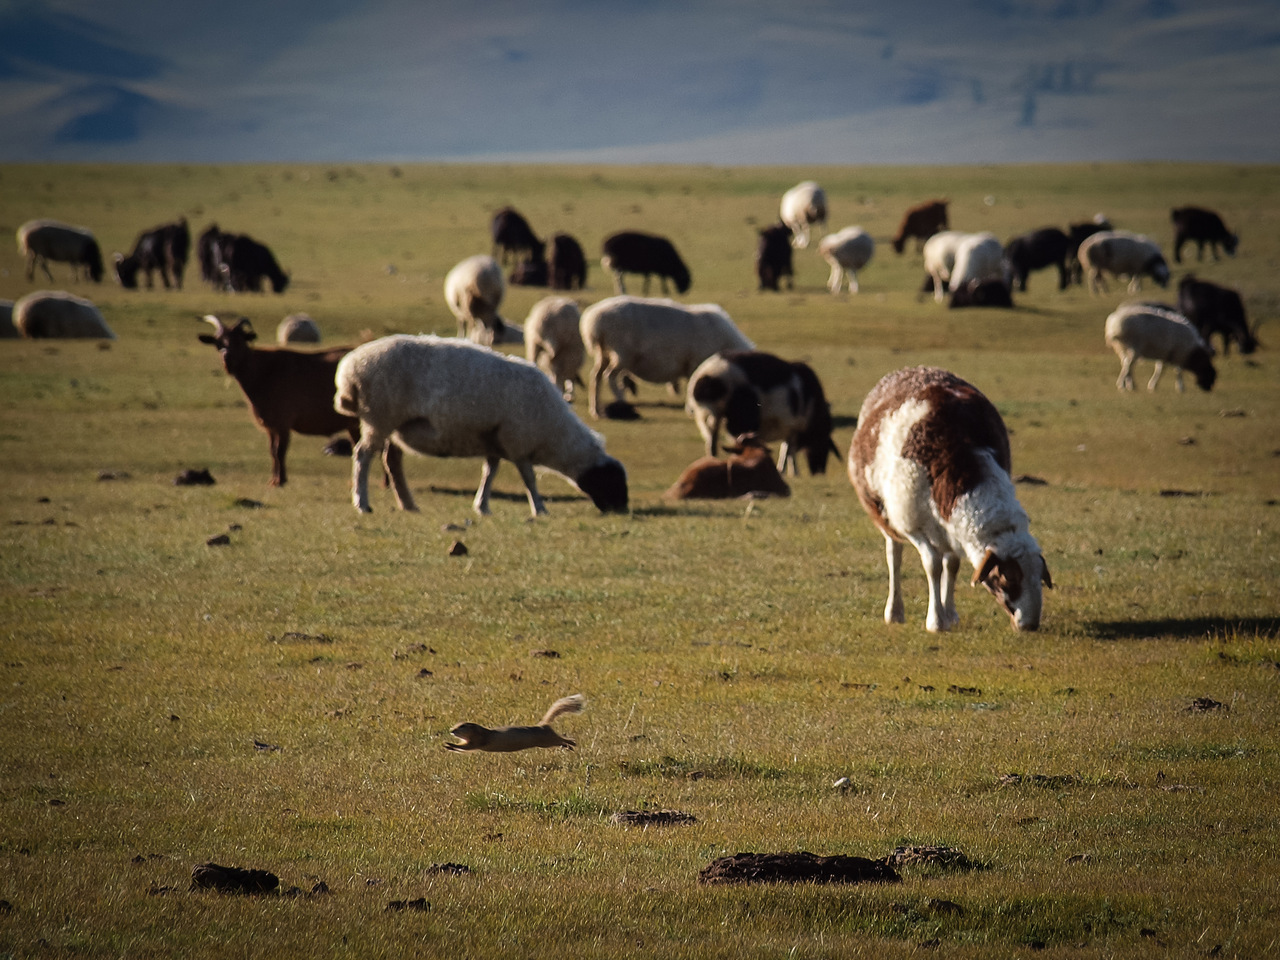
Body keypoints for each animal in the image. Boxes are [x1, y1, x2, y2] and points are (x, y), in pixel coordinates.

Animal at [332, 335, 627, 519]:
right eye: (612, 481)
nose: (623, 510)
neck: (555, 434)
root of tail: (350, 369)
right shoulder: (517, 440)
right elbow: (529, 479)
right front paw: (540, 508)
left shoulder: (495, 441)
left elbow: (490, 473)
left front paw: (482, 506)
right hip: (379, 417)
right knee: (363, 456)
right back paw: (362, 503)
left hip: (389, 422)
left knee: (390, 460)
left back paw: (408, 505)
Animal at [578, 295, 747, 419]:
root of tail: (593, 321)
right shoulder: (696, 362)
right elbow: (692, 384)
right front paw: (691, 410)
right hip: (621, 352)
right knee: (610, 376)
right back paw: (621, 403)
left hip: (604, 353)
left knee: (596, 376)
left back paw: (596, 410)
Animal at [691, 350, 839, 478]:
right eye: (823, 441)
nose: (819, 471)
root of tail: (708, 376)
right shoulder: (792, 425)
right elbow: (788, 450)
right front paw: (790, 472)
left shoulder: (789, 427)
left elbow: (786, 449)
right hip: (741, 415)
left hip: (711, 412)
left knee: (712, 433)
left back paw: (712, 457)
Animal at [849, 366, 1049, 632]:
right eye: (1005, 580)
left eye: (1040, 578)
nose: (1030, 625)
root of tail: (910, 369)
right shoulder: (911, 522)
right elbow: (932, 564)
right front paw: (936, 620)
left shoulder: (953, 530)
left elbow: (951, 565)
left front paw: (950, 614)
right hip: (887, 514)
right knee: (894, 556)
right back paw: (895, 611)